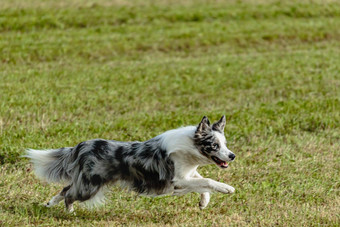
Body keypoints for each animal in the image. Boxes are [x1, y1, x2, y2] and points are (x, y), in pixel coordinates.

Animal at [25, 115, 236, 213]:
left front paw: (203, 202)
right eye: (214, 145)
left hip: (85, 182)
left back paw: (49, 204)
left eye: (225, 144)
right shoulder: (176, 180)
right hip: (89, 187)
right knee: (69, 195)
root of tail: (81, 146)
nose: (232, 156)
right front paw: (227, 188)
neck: (190, 147)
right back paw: (70, 213)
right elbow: (207, 180)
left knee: (65, 189)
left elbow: (202, 182)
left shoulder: (186, 176)